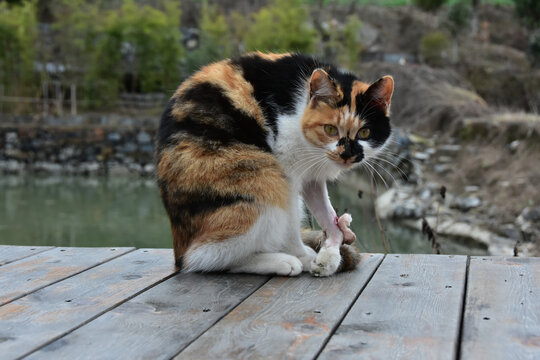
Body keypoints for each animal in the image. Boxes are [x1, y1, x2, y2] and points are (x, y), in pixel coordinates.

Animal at [156, 51, 392, 276]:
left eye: (364, 132)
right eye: (330, 129)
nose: (347, 154)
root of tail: (178, 249)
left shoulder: (311, 176)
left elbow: (325, 211)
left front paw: (332, 246)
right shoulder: (288, 171)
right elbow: (292, 223)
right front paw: (302, 255)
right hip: (265, 177)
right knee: (204, 257)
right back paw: (285, 261)